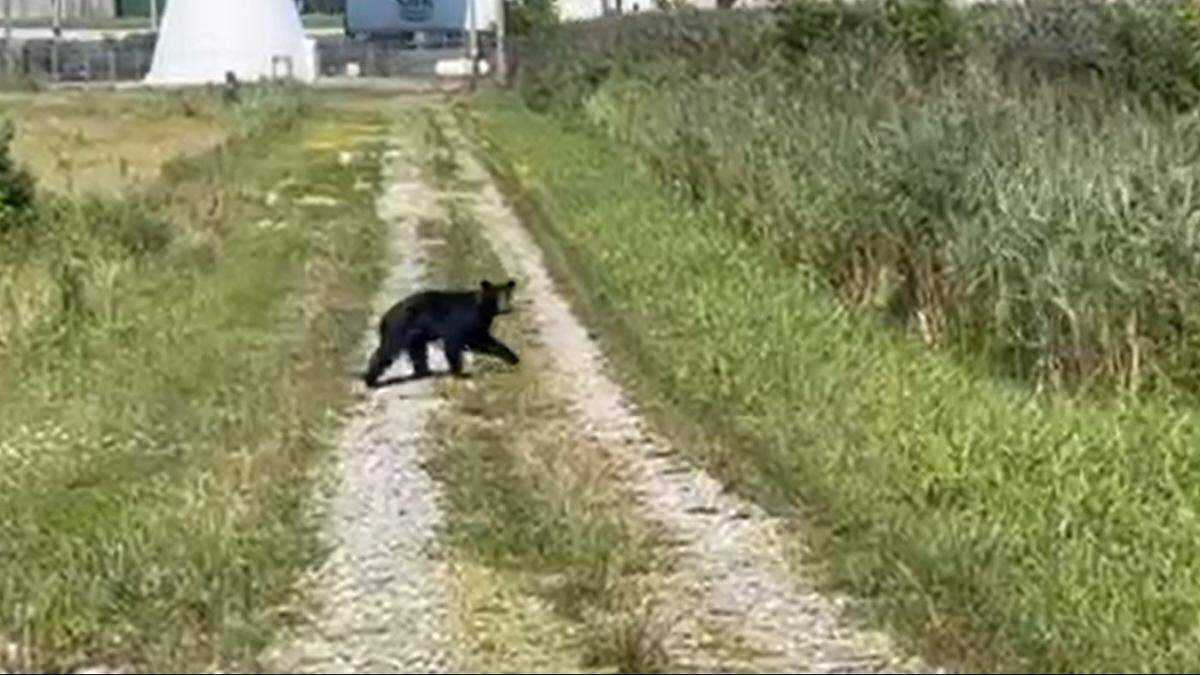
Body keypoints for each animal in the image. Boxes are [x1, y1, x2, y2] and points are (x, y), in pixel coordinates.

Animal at [363, 279, 520, 388]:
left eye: (507, 295)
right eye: (496, 296)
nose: (506, 307)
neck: (481, 309)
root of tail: (385, 317)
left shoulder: (478, 325)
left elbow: (482, 340)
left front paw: (513, 358)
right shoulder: (461, 322)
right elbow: (456, 344)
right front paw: (461, 372)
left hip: (416, 336)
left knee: (418, 352)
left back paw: (426, 372)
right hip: (401, 329)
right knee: (388, 350)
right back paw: (371, 380)